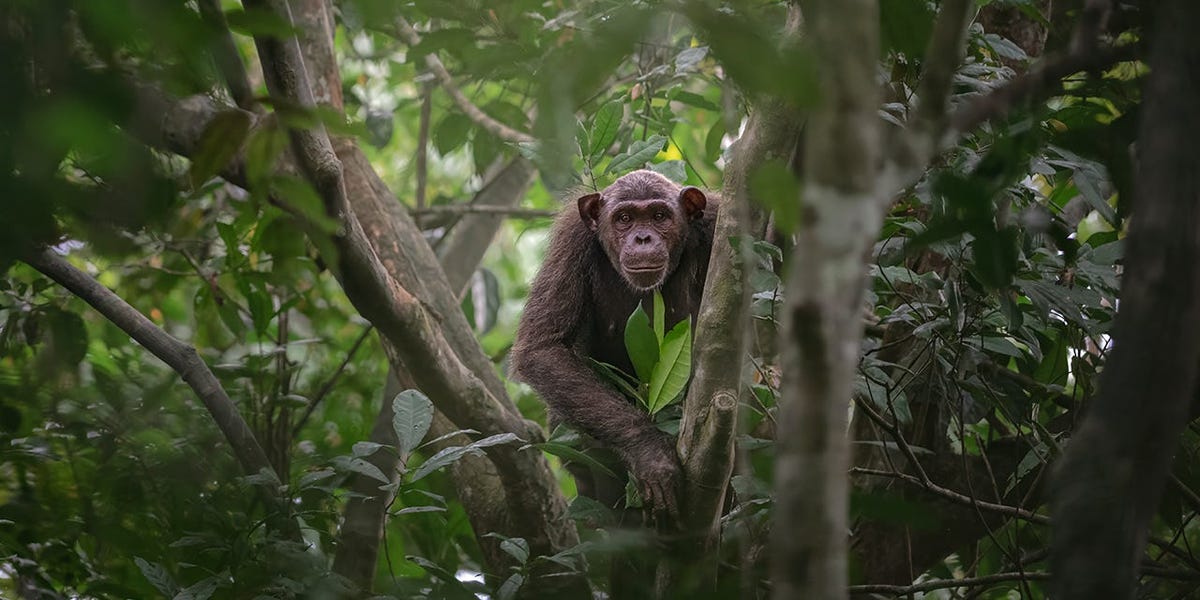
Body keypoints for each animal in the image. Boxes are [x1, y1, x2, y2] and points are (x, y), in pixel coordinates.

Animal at [511, 169, 715, 520]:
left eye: (659, 216)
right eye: (624, 218)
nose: (643, 238)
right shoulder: (572, 239)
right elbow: (543, 347)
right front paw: (650, 451)